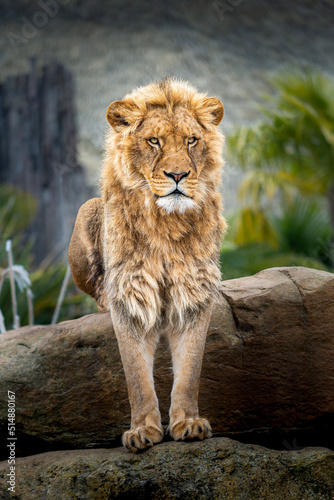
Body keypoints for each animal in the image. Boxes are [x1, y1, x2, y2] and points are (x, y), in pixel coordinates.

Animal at [68, 77, 226, 454]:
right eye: (154, 141)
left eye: (191, 140)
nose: (178, 174)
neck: (167, 224)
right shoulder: (129, 294)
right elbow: (136, 375)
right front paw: (142, 431)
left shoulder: (195, 291)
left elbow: (190, 369)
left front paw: (188, 423)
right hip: (87, 208)